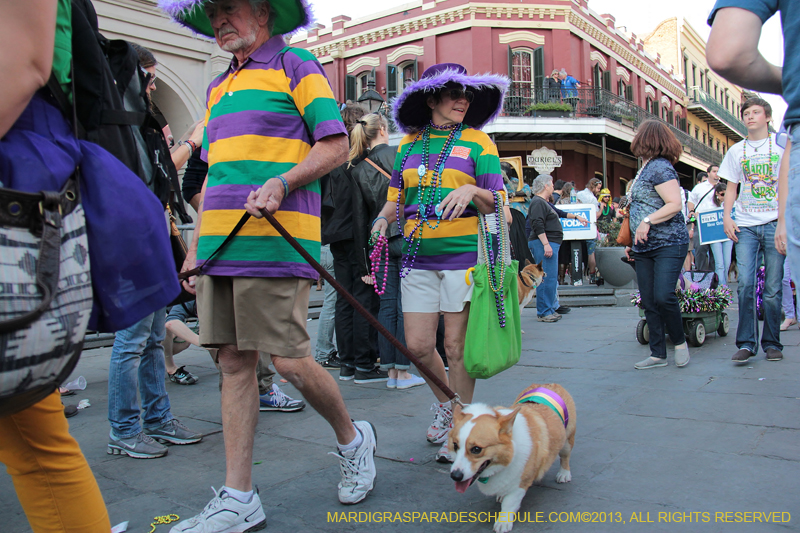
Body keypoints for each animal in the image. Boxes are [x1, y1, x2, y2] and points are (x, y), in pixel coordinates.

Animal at [450, 382, 576, 532]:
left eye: (476, 449)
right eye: (455, 445)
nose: (455, 476)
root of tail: (550, 384)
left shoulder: (520, 484)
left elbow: (509, 503)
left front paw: (503, 523)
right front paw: (501, 495)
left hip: (567, 441)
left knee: (565, 457)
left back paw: (564, 474)